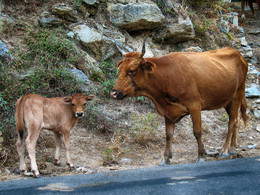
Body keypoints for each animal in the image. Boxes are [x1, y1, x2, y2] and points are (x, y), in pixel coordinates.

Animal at [111, 41, 248, 165]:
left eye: (132, 70)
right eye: (119, 68)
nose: (114, 93)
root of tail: (237, 53)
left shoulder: (195, 105)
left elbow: (197, 132)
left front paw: (201, 156)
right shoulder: (168, 111)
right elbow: (168, 135)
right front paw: (165, 158)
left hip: (237, 94)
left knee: (231, 122)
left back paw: (224, 150)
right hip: (228, 100)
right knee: (237, 121)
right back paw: (232, 149)